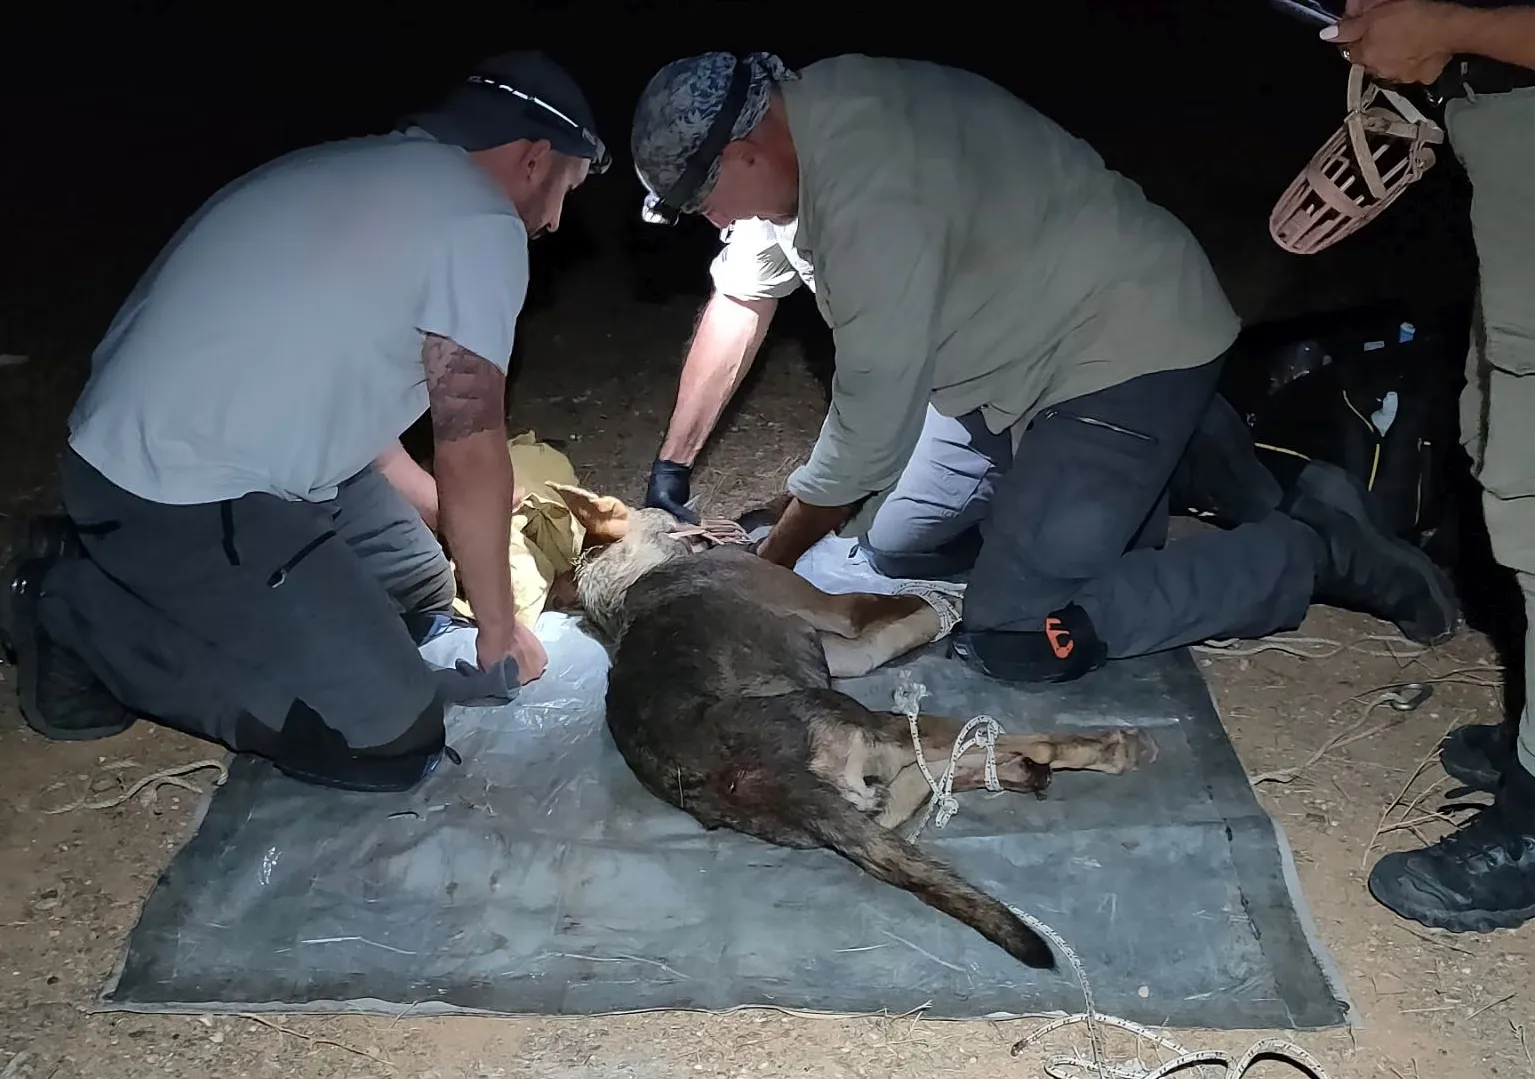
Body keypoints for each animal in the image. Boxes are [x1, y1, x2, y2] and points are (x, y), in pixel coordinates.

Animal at [550, 483, 1157, 971]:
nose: (733, 517)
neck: (632, 578)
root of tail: (769, 781)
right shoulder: (838, 614)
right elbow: (907, 610)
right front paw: (950, 600)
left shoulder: (844, 651)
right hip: (877, 724)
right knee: (1004, 741)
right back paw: (1103, 747)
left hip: (873, 775)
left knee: (930, 779)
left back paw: (1013, 771)